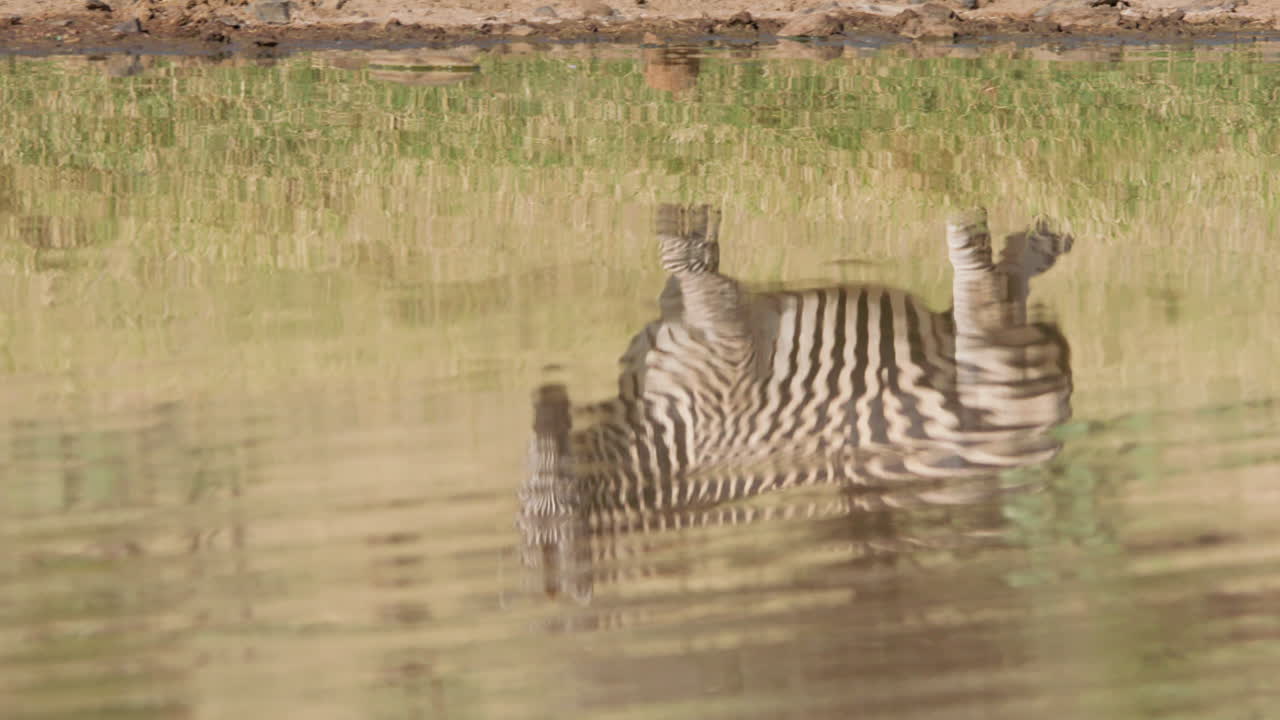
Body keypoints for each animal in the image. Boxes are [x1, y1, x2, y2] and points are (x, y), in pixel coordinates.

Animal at [519, 205, 1073, 601]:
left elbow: (681, 263)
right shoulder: (688, 311)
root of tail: (1049, 436)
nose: (542, 399)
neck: (645, 434)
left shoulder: (726, 336)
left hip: (983, 373)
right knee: (1007, 291)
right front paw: (698, 229)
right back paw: (1041, 245)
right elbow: (685, 266)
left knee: (984, 292)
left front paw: (682, 226)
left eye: (540, 496)